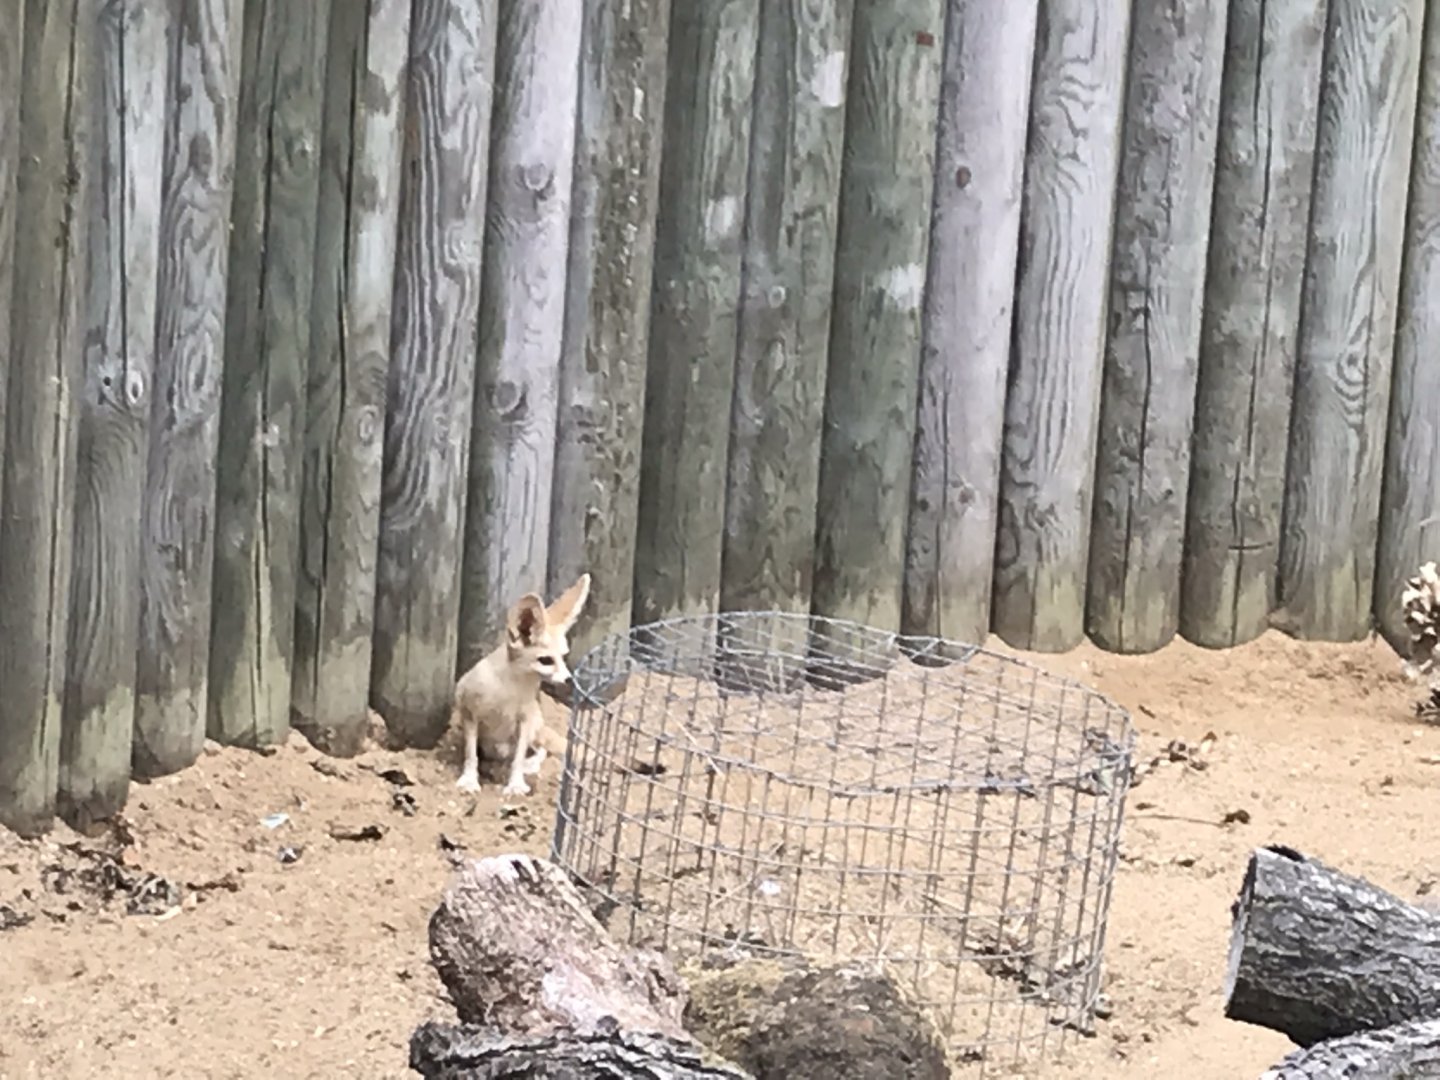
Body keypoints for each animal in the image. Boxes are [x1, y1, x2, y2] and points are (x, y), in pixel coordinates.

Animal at [452, 573, 591, 797]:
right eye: (546, 660)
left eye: (563, 657)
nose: (569, 679)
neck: (510, 691)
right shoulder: (469, 713)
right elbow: (471, 754)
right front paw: (470, 779)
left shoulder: (525, 720)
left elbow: (517, 758)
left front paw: (516, 783)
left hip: (534, 725)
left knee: (539, 749)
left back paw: (529, 765)